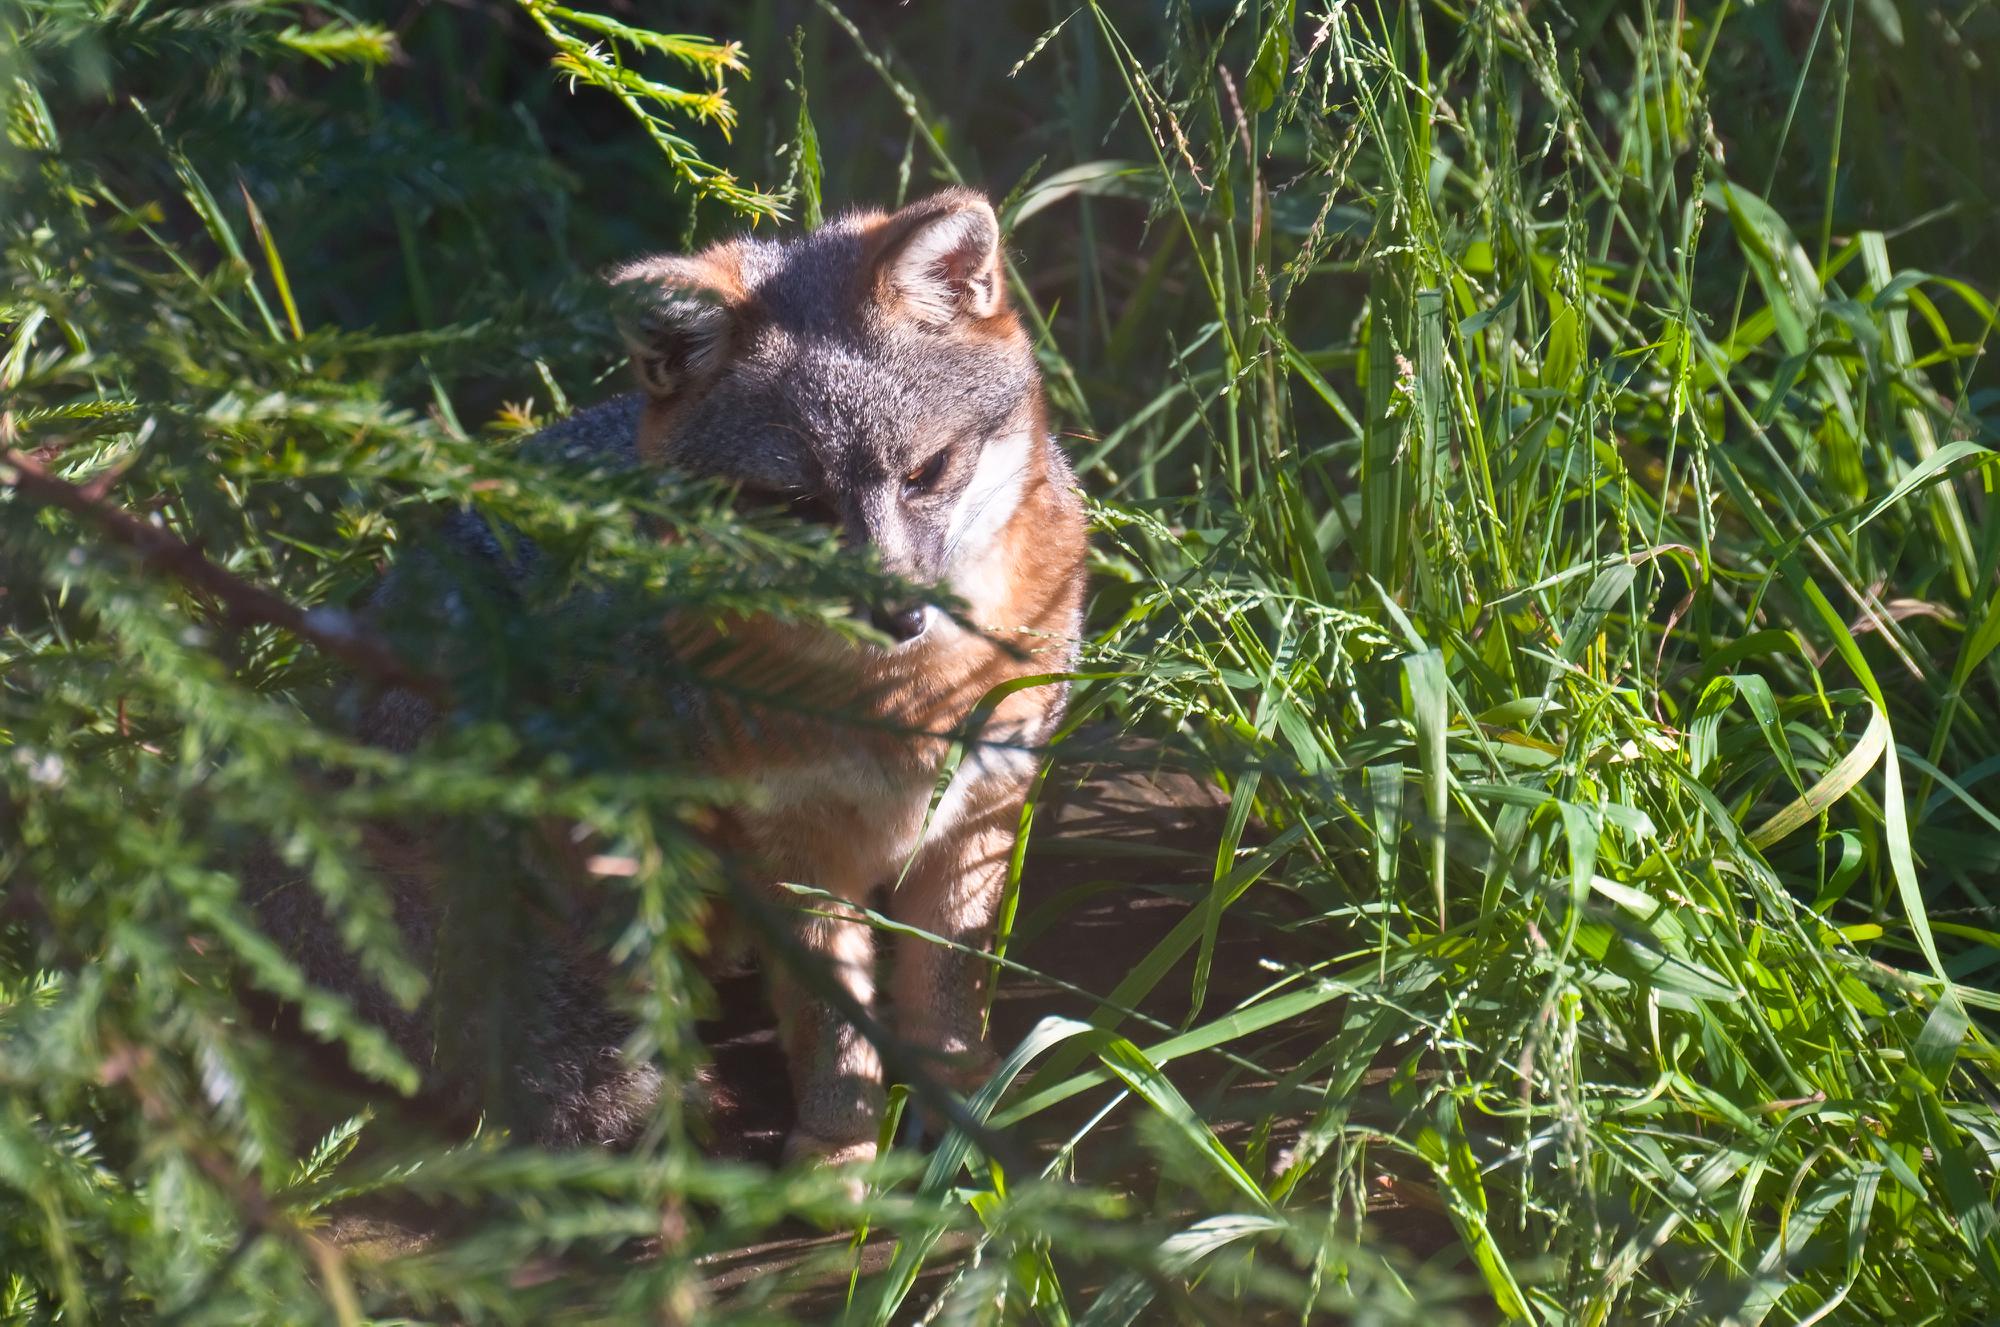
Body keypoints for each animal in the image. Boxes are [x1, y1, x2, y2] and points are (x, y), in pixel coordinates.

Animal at [324, 191, 1096, 1167]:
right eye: (796, 504)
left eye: (927, 473)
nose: (898, 616)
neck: (904, 702)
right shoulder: (794, 854)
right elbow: (832, 1027)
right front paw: (835, 1154)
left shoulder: (978, 818)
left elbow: (948, 998)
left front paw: (968, 1116)